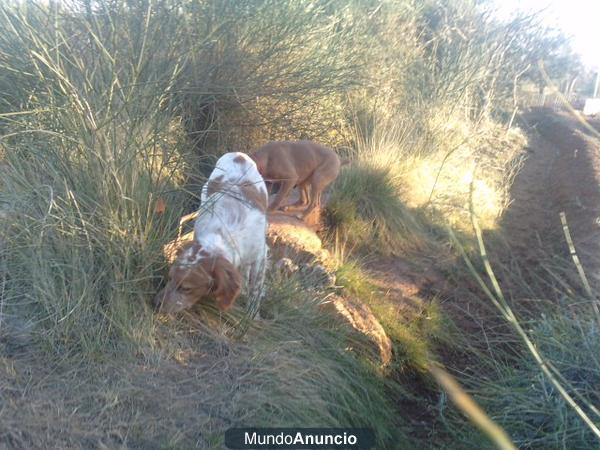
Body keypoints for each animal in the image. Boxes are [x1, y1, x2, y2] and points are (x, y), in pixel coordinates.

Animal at [155, 153, 268, 314]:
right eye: (170, 277)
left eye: (186, 289)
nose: (156, 303)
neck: (224, 235)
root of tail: (239, 155)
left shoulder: (260, 254)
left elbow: (256, 288)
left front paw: (251, 313)